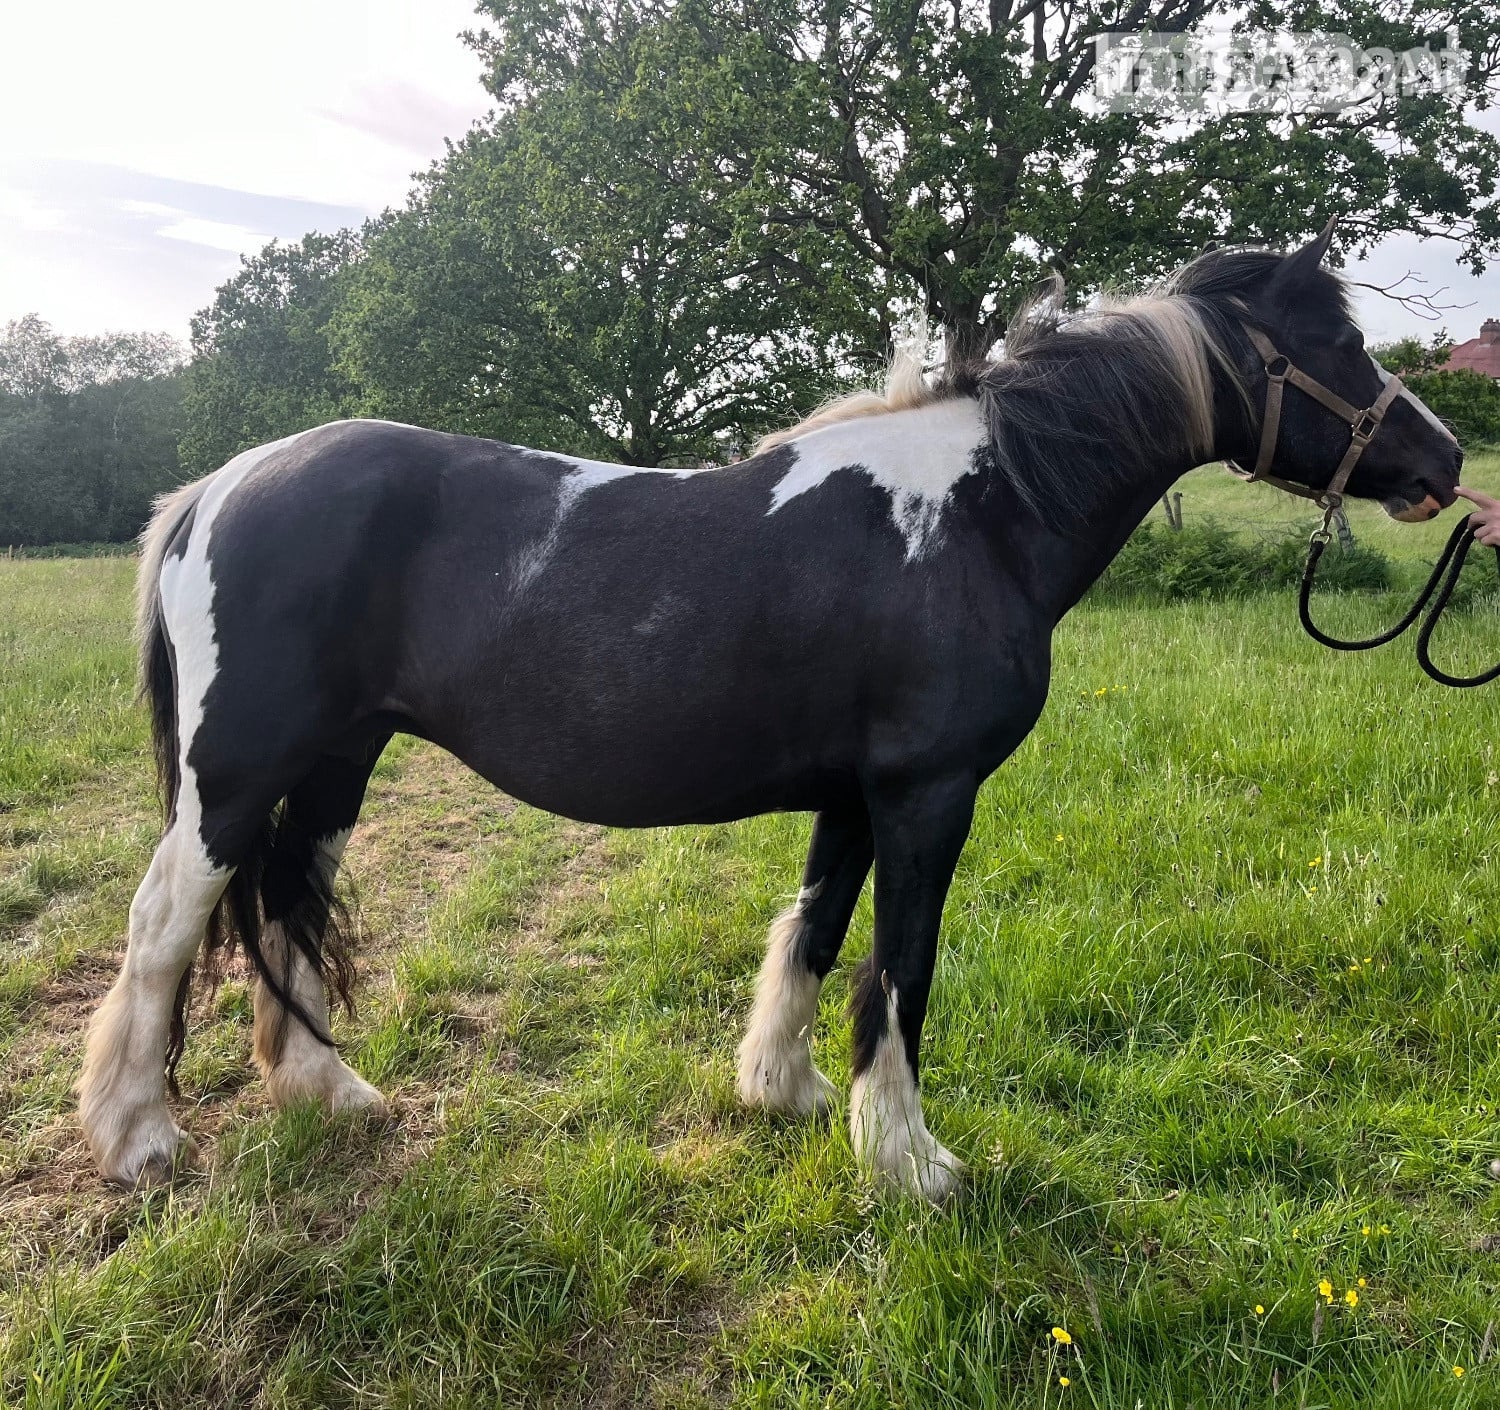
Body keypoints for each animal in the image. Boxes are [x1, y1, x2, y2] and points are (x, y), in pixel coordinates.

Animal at [79, 225, 1462, 1200]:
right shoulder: (927, 797)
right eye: (1336, 346)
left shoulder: (854, 797)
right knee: (163, 924)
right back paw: (139, 1138)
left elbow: (814, 933)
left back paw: (331, 1094)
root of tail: (217, 488)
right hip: (234, 773)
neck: (980, 512)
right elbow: (902, 968)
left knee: (289, 905)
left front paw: (784, 1097)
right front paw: (911, 1165)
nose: (1444, 462)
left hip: (333, 767)